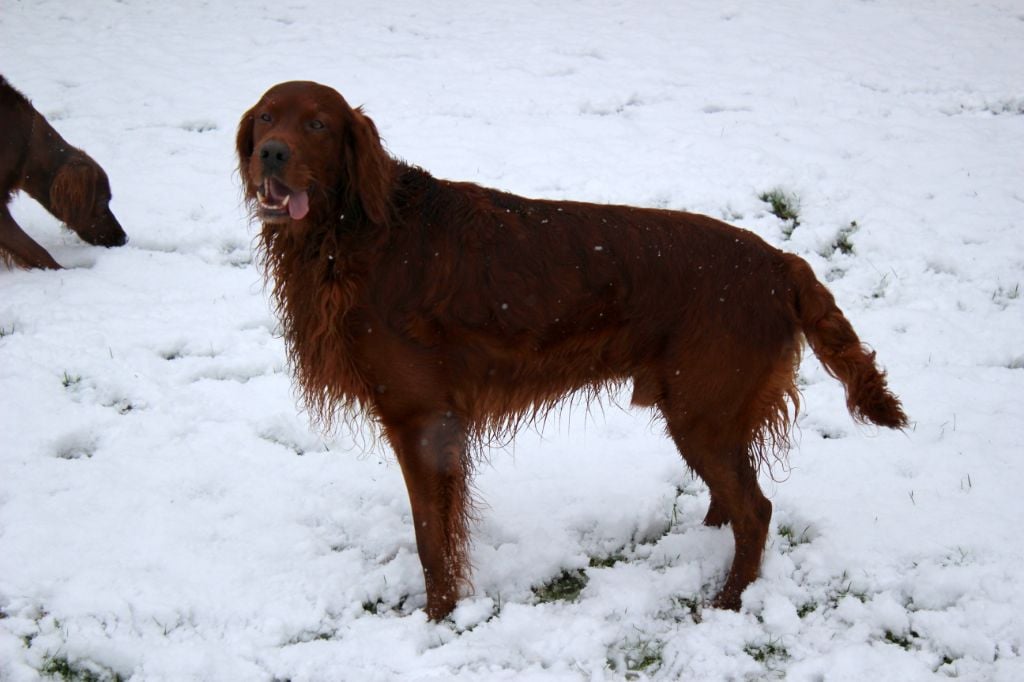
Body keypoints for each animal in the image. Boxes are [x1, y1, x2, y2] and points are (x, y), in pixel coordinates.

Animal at [237, 80, 907, 620]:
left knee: (756, 509)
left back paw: (727, 600)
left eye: (317, 125)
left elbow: (431, 537)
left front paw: (436, 617)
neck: (355, 233)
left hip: (703, 412)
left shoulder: (421, 421)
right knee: (730, 499)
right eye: (267, 118)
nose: (271, 153)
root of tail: (779, 263)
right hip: (702, 411)